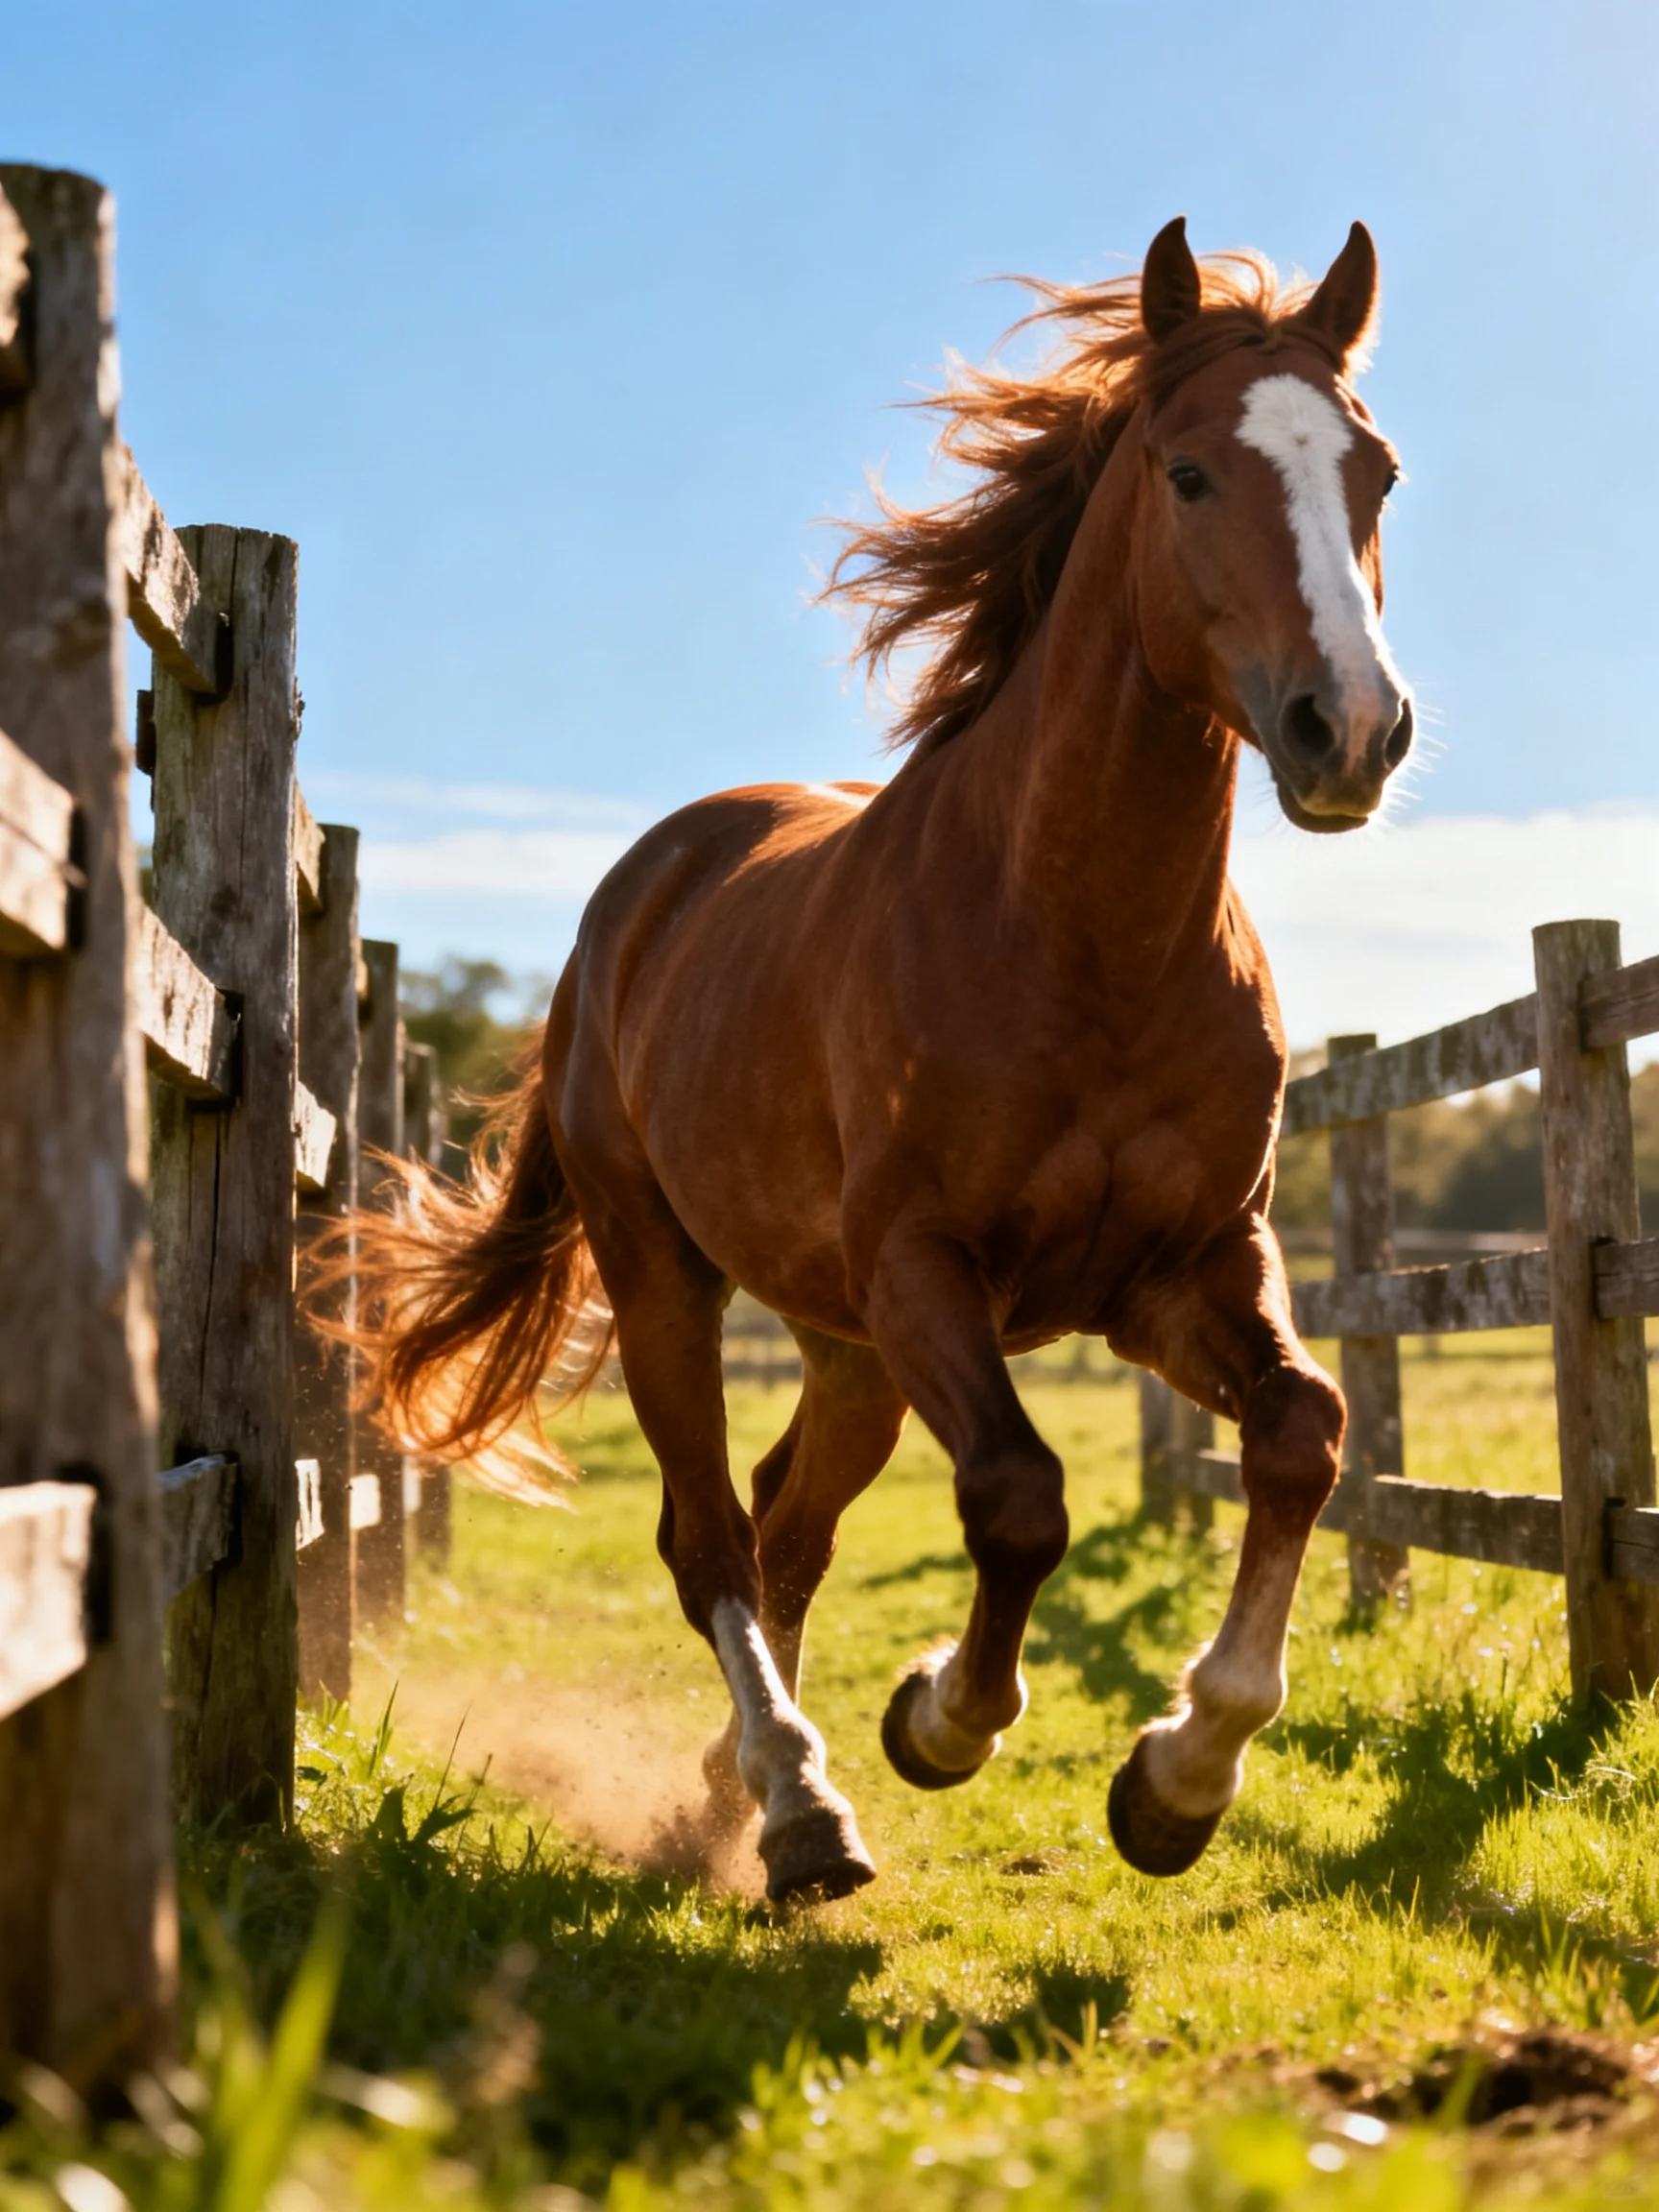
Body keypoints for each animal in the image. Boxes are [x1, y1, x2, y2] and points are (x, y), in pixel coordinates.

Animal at [339, 216, 1413, 1903]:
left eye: (1376, 472)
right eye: (1188, 473)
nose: (1350, 731)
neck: (1075, 937)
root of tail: (639, 897)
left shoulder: (1187, 1270)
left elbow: (1302, 1439)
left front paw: (1179, 1780)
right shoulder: (928, 1269)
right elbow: (1021, 1500)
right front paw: (942, 1718)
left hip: (845, 1348)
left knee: (790, 1521)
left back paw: (731, 1789)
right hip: (673, 1280)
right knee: (711, 1537)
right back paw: (797, 1807)